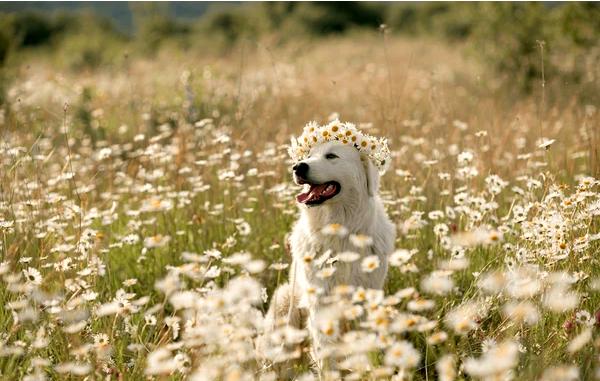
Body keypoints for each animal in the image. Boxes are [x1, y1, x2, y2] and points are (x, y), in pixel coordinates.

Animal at [256, 132, 394, 372]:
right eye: (309, 155)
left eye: (331, 156)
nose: (297, 167)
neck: (339, 231)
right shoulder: (321, 301)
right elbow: (326, 350)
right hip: (284, 304)